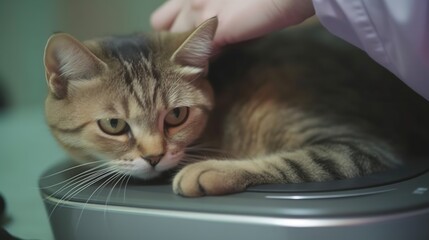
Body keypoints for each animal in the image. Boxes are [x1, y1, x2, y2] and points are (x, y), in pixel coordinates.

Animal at [43, 16, 428, 197]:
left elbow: (302, 161)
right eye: (113, 125)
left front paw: (209, 170)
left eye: (177, 115)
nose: (154, 157)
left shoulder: (357, 145)